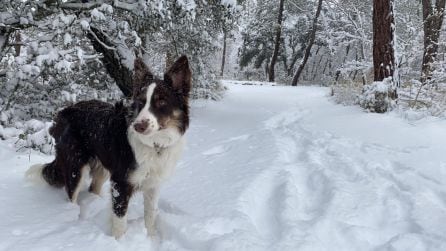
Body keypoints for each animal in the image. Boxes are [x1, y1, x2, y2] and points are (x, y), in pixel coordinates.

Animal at [25, 56, 191, 238]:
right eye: (140, 102)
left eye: (161, 101)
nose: (138, 126)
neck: (154, 144)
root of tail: (64, 111)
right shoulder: (120, 183)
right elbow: (120, 222)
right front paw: (119, 241)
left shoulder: (153, 185)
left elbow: (150, 216)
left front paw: (151, 237)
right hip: (76, 166)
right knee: (72, 195)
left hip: (103, 167)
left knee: (93, 188)